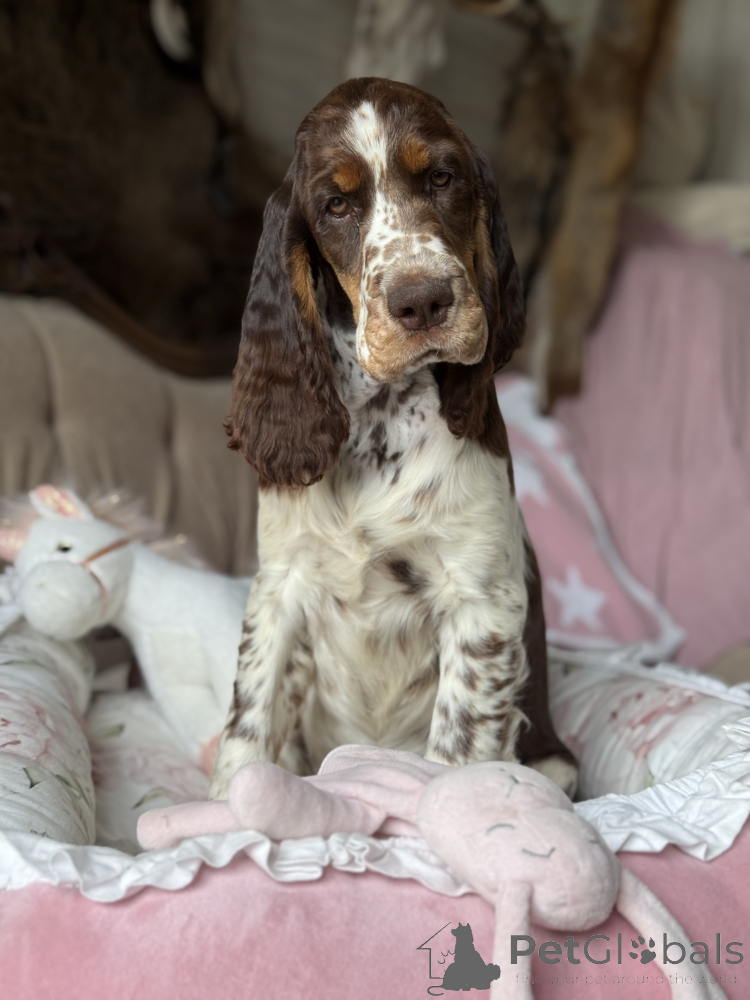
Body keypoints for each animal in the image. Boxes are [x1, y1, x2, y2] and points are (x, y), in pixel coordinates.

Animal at [209, 77, 576, 800]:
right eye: (337, 204)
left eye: (441, 177)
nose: (422, 301)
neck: (380, 416)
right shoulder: (280, 582)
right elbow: (251, 715)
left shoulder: (480, 600)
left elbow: (457, 747)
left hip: (556, 762)